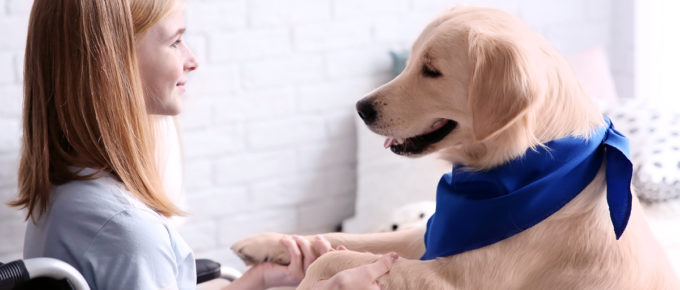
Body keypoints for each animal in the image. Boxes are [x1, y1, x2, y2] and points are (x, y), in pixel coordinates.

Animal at [230, 6, 680, 290]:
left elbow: (333, 259)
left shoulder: (453, 279)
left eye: (432, 71)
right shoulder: (430, 235)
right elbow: (346, 238)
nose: (361, 108)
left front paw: (308, 277)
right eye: (410, 61)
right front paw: (269, 244)